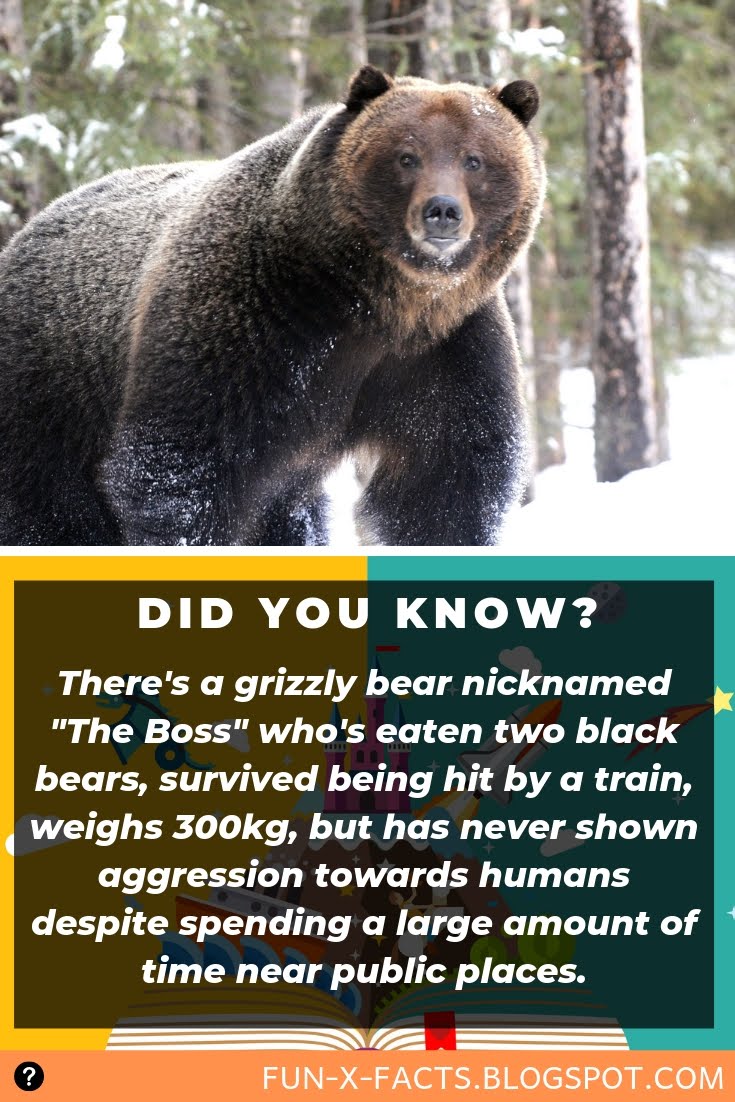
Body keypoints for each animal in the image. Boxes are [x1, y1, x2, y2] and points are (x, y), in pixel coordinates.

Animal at [0, 66, 545, 547]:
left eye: (474, 159)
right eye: (406, 156)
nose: (443, 211)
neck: (376, 304)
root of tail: (26, 233)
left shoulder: (441, 352)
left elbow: (442, 484)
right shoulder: (253, 323)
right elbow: (184, 469)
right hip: (52, 390)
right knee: (47, 505)